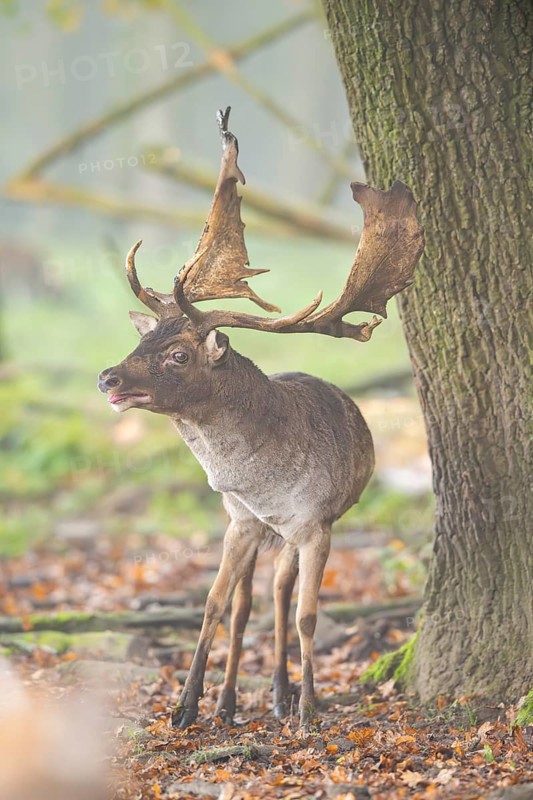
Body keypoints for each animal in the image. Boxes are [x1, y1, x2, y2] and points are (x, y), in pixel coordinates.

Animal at [98, 108, 424, 729]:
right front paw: (186, 706)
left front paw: (309, 709)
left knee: (279, 595)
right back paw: (230, 702)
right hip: (251, 529)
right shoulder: (240, 519)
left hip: (298, 532)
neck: (261, 480)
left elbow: (306, 615)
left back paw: (280, 695)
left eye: (179, 354)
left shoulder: (315, 523)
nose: (108, 378)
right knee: (250, 600)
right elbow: (213, 603)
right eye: (144, 339)